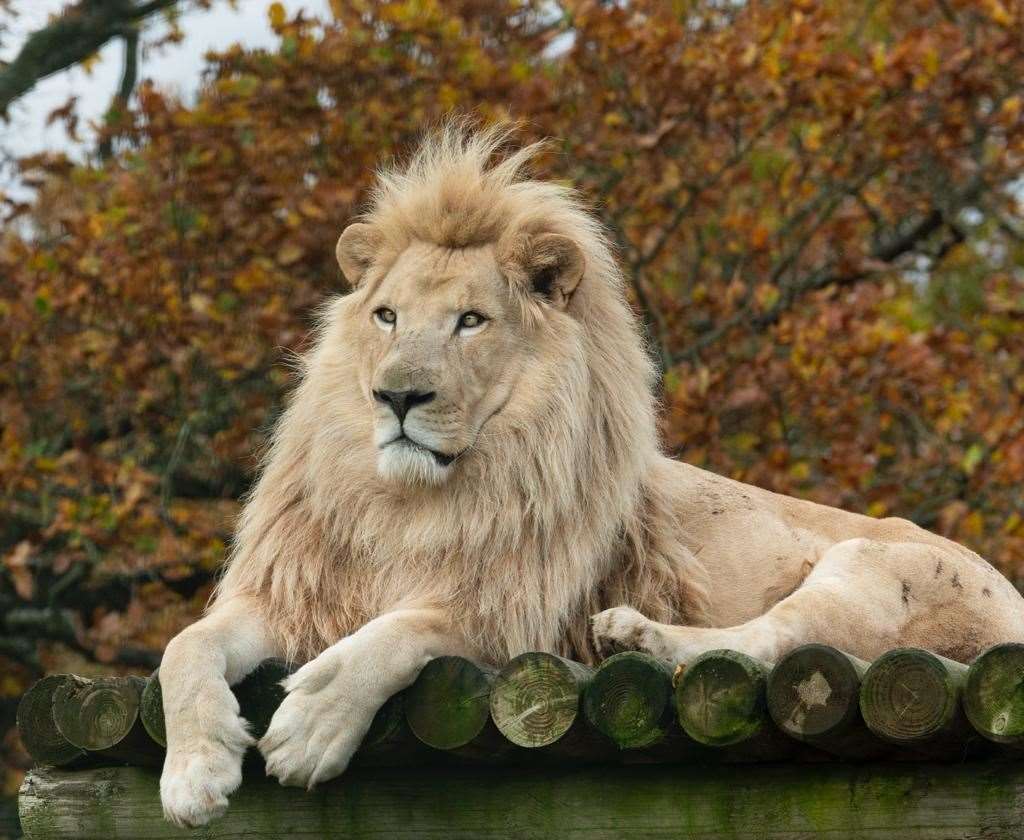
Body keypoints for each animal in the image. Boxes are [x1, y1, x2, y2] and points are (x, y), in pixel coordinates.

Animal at [157, 122, 1024, 827]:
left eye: (470, 321)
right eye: (387, 317)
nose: (397, 396)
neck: (412, 500)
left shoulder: (513, 609)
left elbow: (399, 633)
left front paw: (313, 723)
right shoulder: (294, 591)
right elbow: (185, 648)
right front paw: (193, 774)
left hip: (873, 566)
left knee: (768, 642)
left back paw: (633, 633)